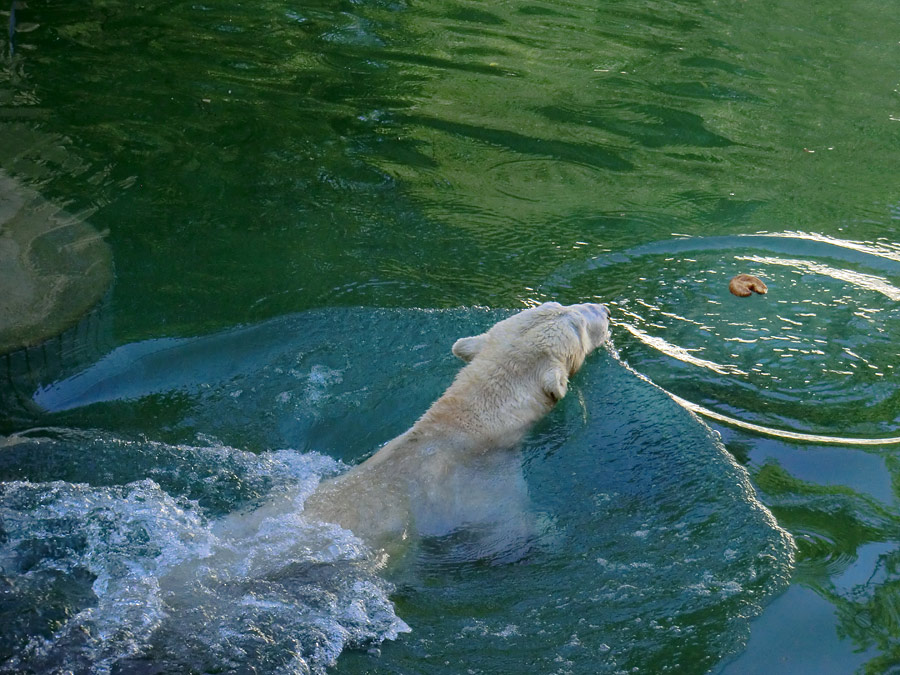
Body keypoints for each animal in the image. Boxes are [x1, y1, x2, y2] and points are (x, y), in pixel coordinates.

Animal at [302, 304, 612, 556]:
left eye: (557, 303)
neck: (466, 426)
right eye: (579, 326)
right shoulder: (483, 490)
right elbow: (509, 532)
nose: (605, 310)